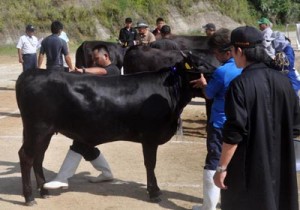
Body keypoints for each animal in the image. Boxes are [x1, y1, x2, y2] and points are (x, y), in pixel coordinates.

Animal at [15, 55, 200, 206]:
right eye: (202, 65)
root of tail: (32, 73)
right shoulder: (150, 137)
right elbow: (150, 164)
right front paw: (154, 193)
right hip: (37, 128)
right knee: (26, 156)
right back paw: (29, 197)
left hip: (44, 132)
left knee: (38, 157)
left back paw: (44, 191)